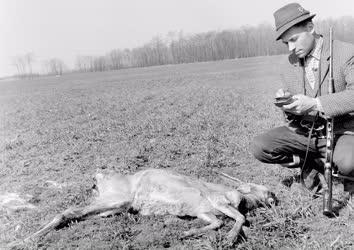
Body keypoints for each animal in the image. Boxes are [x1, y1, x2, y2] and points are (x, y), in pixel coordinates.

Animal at [21, 168, 276, 244]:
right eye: (262, 187)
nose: (274, 195)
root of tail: (99, 177)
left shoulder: (207, 209)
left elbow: (223, 221)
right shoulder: (218, 201)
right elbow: (239, 218)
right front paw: (232, 237)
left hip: (113, 207)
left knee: (76, 215)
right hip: (116, 199)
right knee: (68, 212)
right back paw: (24, 239)